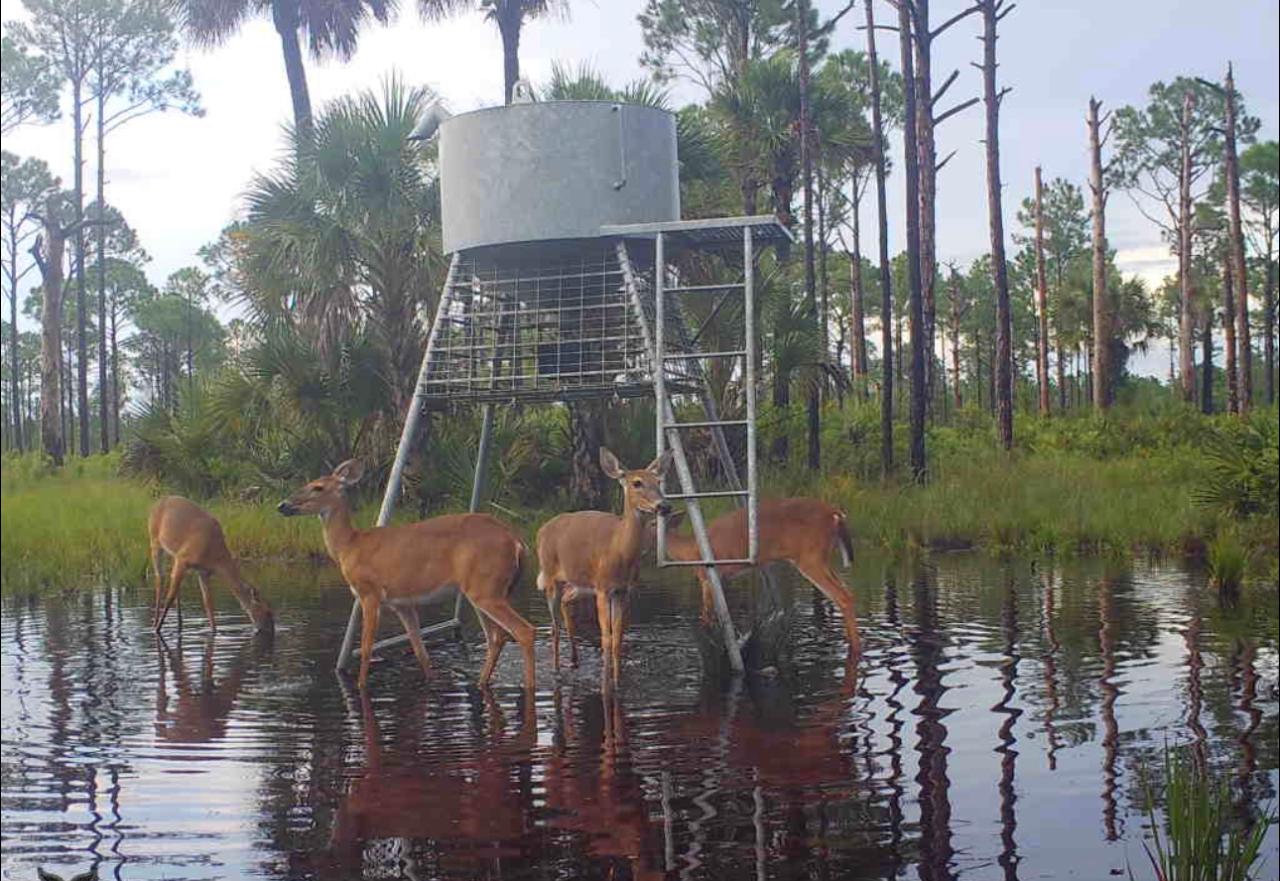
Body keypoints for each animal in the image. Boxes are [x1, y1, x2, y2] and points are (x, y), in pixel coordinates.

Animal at [149, 496, 275, 632]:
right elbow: (170, 597)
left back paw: (179, 623)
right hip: (155, 541)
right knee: (160, 579)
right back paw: (155, 623)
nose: (271, 631)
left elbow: (208, 604)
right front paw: (157, 629)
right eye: (268, 612)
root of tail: (159, 501)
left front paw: (214, 631)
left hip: (173, 554)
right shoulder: (183, 559)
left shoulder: (203, 571)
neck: (215, 556)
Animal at [277, 458, 537, 691]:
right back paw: (482, 682)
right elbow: (420, 651)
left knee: (523, 630)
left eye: (317, 487)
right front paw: (430, 681)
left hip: (485, 587)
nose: (282, 505)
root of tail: (516, 541)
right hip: (482, 589)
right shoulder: (402, 603)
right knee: (496, 637)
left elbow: (366, 647)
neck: (350, 546)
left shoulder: (369, 592)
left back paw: (529, 686)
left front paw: (361, 686)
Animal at [532, 448, 670, 681]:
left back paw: (575, 660)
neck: (619, 551)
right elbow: (606, 637)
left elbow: (617, 638)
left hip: (580, 583)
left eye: (659, 481)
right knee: (554, 627)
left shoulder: (622, 591)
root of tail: (542, 530)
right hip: (551, 577)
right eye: (637, 483)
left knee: (566, 603)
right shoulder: (604, 589)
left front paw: (617, 678)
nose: (664, 506)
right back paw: (556, 670)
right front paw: (606, 679)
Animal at [660, 499, 860, 650]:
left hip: (811, 557)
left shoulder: (708, 576)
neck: (690, 550)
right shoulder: (723, 578)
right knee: (848, 593)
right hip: (823, 558)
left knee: (843, 596)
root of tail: (835, 513)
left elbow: (706, 616)